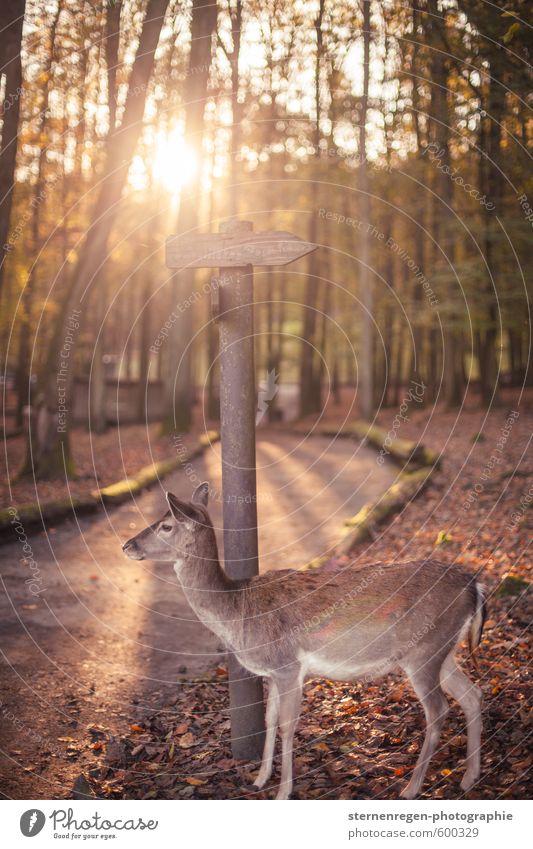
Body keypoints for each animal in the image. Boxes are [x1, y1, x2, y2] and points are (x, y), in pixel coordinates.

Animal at [122, 480, 484, 800]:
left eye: (166, 525)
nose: (127, 545)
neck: (237, 611)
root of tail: (474, 586)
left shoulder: (287, 665)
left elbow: (287, 724)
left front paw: (283, 792)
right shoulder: (271, 672)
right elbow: (269, 720)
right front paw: (259, 779)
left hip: (423, 651)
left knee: (438, 709)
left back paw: (412, 788)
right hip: (442, 650)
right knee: (472, 694)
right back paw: (469, 778)